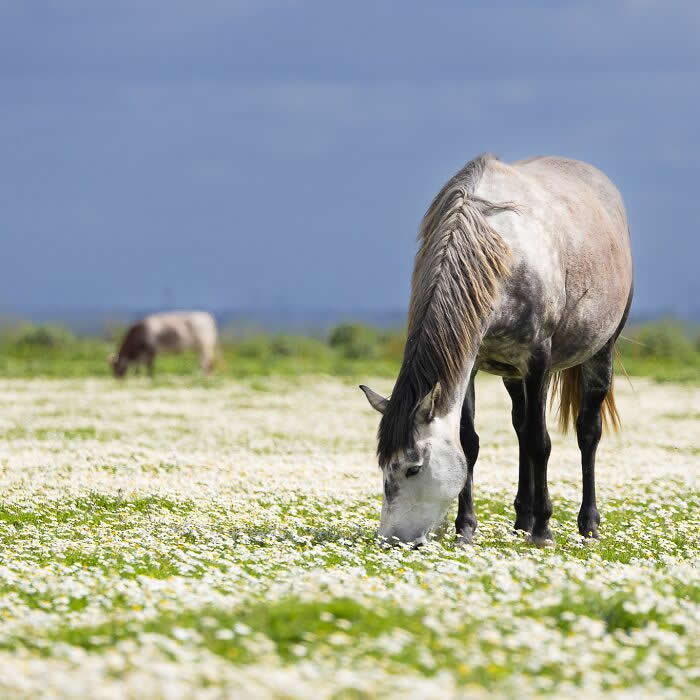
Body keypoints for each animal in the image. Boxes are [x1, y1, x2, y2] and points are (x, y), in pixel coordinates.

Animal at [360, 154, 633, 547]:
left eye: (414, 468)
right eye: (384, 466)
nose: (391, 540)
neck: (505, 254)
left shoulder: (538, 362)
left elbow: (540, 442)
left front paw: (544, 530)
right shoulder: (473, 363)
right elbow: (469, 442)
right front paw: (465, 528)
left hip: (600, 352)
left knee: (586, 432)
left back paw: (587, 525)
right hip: (511, 373)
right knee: (519, 425)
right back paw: (521, 520)